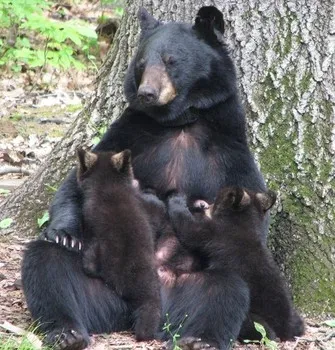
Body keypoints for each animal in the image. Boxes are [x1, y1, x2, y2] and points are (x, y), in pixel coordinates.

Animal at [167, 189, 304, 342]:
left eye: (216, 200)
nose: (204, 205)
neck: (245, 224)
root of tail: (284, 329)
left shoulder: (215, 233)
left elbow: (189, 229)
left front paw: (176, 200)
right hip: (294, 316)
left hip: (255, 320)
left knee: (260, 329)